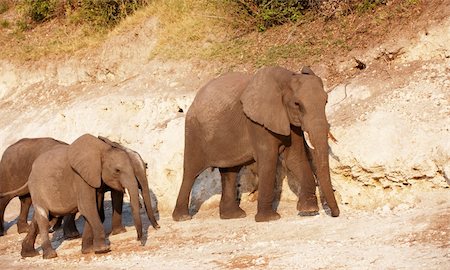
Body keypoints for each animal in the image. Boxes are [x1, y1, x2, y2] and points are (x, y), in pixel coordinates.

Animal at [6, 135, 159, 260]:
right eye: (117, 170)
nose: (139, 239)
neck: (101, 150)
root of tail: (31, 172)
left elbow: (94, 208)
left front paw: (88, 250)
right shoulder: (81, 178)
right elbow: (87, 207)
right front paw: (103, 249)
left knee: (41, 217)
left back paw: (28, 253)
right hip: (37, 189)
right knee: (43, 216)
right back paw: (50, 255)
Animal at [174, 65, 340, 221]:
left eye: (326, 101)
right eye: (297, 104)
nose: (335, 214)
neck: (286, 78)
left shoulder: (290, 122)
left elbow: (295, 158)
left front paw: (308, 210)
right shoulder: (256, 123)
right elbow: (268, 160)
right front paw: (269, 218)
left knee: (230, 172)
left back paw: (234, 215)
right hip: (194, 132)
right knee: (191, 172)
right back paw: (183, 217)